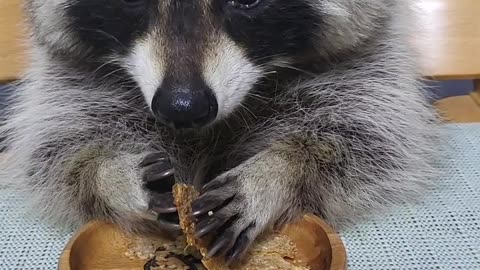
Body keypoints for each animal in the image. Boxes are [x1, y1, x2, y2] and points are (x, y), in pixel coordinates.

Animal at [0, 0, 438, 264]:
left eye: (249, 1)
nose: (182, 107)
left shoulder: (369, 66)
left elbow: (369, 140)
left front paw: (278, 171)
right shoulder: (70, 79)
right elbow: (56, 151)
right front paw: (110, 174)